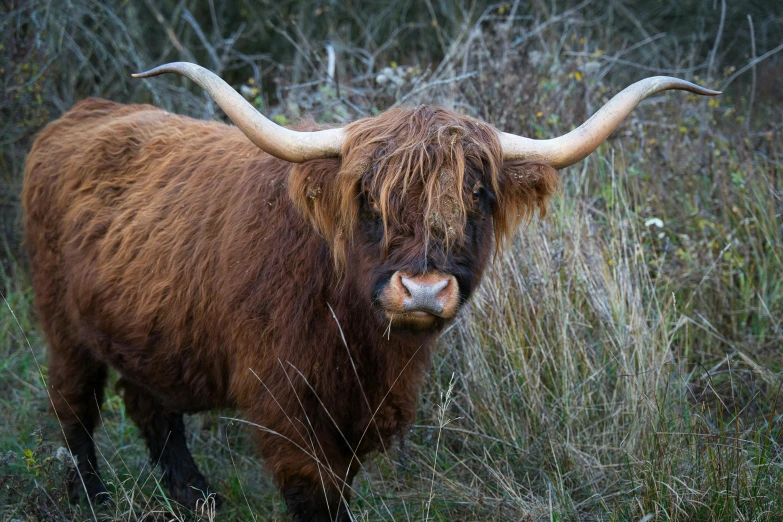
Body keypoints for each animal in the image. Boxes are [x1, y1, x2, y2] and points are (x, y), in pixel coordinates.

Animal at [21, 63, 720, 516]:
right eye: (368, 198)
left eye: (477, 195)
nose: (423, 289)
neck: (357, 340)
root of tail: (86, 111)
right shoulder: (286, 403)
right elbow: (315, 492)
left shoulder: (357, 411)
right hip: (62, 323)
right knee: (74, 405)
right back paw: (95, 499)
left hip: (142, 325)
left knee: (150, 405)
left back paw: (198, 499)